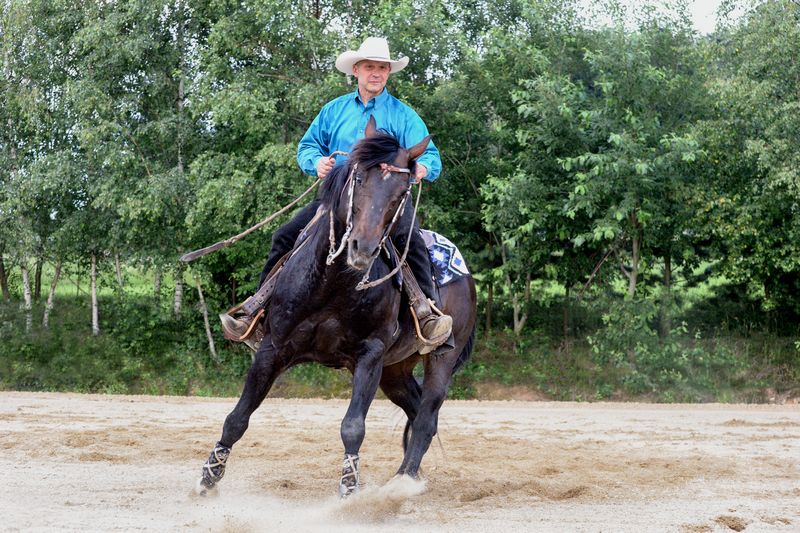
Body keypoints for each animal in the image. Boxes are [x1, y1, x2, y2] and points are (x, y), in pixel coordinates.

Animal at [198, 115, 478, 494]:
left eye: (401, 193)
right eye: (358, 178)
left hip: (441, 358)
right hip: (395, 370)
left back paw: (401, 483)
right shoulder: (273, 347)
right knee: (417, 410)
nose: (363, 247)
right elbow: (237, 418)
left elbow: (353, 426)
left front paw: (349, 487)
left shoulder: (371, 354)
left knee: (425, 418)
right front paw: (209, 476)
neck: (333, 285)